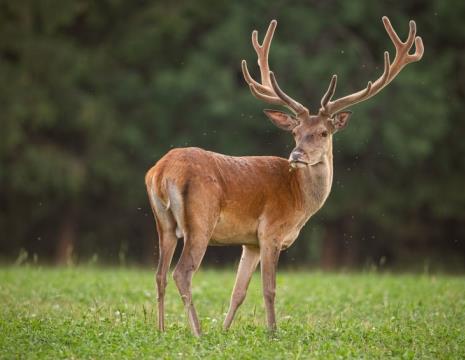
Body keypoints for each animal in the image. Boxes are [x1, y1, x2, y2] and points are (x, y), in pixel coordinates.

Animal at [146, 16, 424, 338]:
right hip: (201, 219)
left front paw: (226, 331)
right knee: (182, 272)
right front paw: (272, 332)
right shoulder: (271, 231)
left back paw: (161, 330)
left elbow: (238, 291)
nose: (297, 155)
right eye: (295, 132)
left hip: (163, 223)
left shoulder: (250, 242)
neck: (300, 199)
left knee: (160, 274)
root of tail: (161, 172)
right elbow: (269, 289)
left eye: (323, 132)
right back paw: (198, 332)